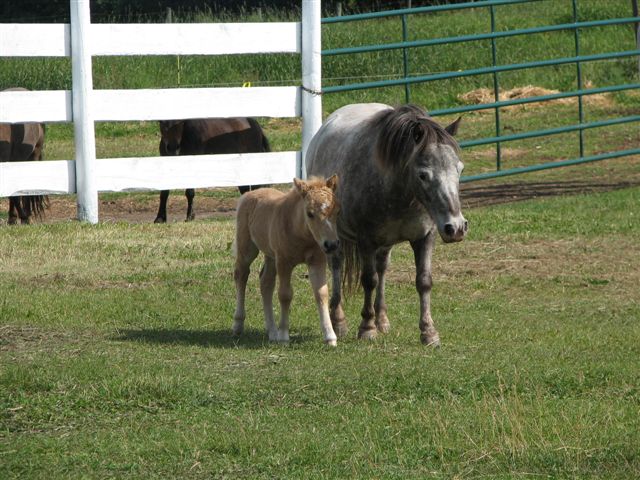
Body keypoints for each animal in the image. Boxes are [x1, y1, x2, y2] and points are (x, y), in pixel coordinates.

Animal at [232, 175, 341, 346]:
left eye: (336, 211)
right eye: (310, 213)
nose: (331, 244)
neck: (300, 233)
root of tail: (249, 194)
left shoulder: (317, 261)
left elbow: (321, 293)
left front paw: (330, 337)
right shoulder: (284, 262)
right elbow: (285, 294)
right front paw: (283, 335)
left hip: (271, 256)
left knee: (266, 282)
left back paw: (272, 332)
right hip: (247, 249)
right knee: (241, 275)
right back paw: (238, 324)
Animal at [306, 103, 468, 346]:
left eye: (459, 169)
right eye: (423, 175)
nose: (456, 228)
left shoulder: (425, 237)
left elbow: (423, 281)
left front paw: (428, 332)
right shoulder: (365, 241)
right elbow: (368, 280)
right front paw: (366, 328)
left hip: (386, 243)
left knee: (382, 269)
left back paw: (382, 320)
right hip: (335, 236)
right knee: (337, 265)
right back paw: (339, 321)